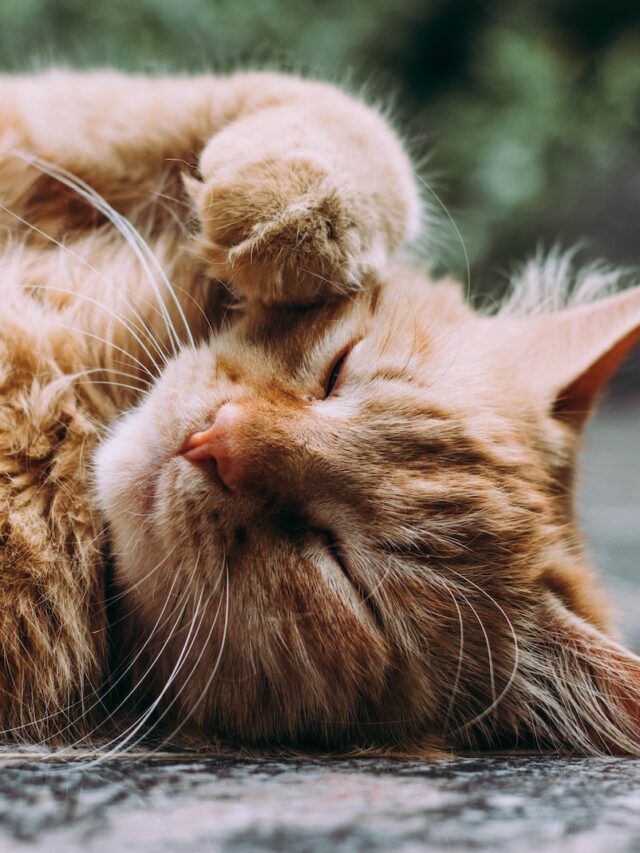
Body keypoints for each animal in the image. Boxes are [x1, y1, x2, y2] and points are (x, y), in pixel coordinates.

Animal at [0, 70, 636, 756]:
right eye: (337, 373)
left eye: (342, 566)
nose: (214, 441)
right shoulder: (45, 121)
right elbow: (336, 116)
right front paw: (283, 216)